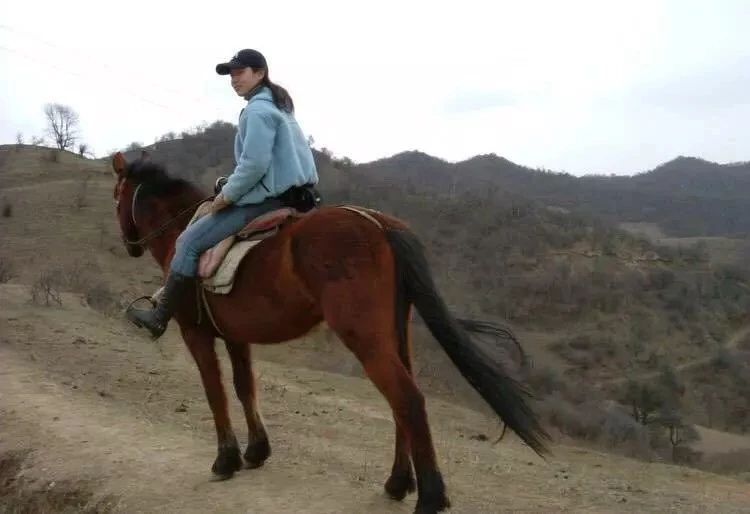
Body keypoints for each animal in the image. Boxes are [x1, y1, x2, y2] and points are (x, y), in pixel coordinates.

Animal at [111, 151, 548, 512]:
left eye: (116, 195)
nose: (130, 244)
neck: (181, 230)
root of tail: (379, 223)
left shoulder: (195, 332)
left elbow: (214, 390)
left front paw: (226, 460)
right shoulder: (236, 335)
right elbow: (243, 386)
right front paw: (256, 452)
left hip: (364, 337)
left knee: (406, 399)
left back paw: (430, 497)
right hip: (394, 333)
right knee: (400, 399)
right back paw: (398, 483)